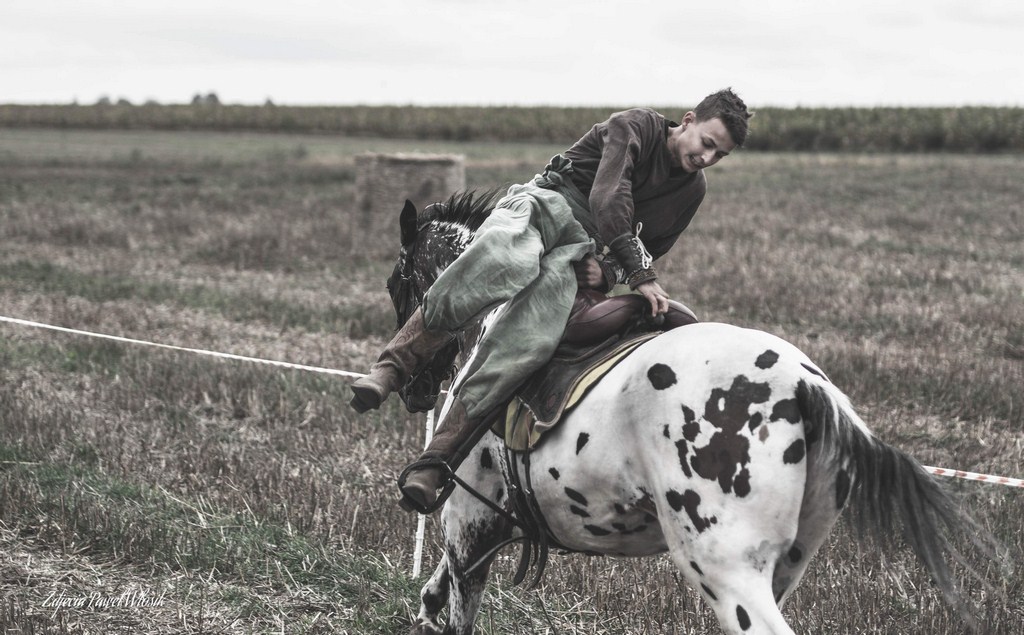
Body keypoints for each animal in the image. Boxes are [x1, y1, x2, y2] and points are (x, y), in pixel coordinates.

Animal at [385, 190, 999, 630]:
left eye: (397, 284)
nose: (415, 390)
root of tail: (806, 386)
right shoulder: (491, 527)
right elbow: (432, 596)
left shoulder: (469, 518)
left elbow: (454, 607)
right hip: (779, 569)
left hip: (724, 568)